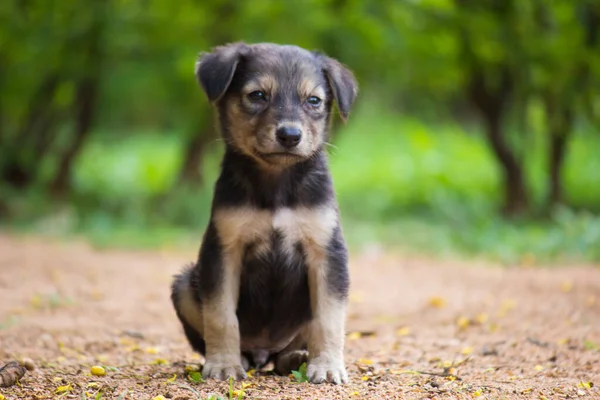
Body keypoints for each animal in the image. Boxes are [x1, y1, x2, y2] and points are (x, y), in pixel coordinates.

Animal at [169, 41, 356, 384]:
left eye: (313, 100)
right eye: (257, 95)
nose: (290, 135)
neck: (276, 184)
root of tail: (263, 351)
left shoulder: (327, 251)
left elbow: (329, 318)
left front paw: (327, 366)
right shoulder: (223, 249)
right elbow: (220, 315)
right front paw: (223, 364)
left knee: (288, 350)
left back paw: (296, 358)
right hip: (186, 285)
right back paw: (240, 359)